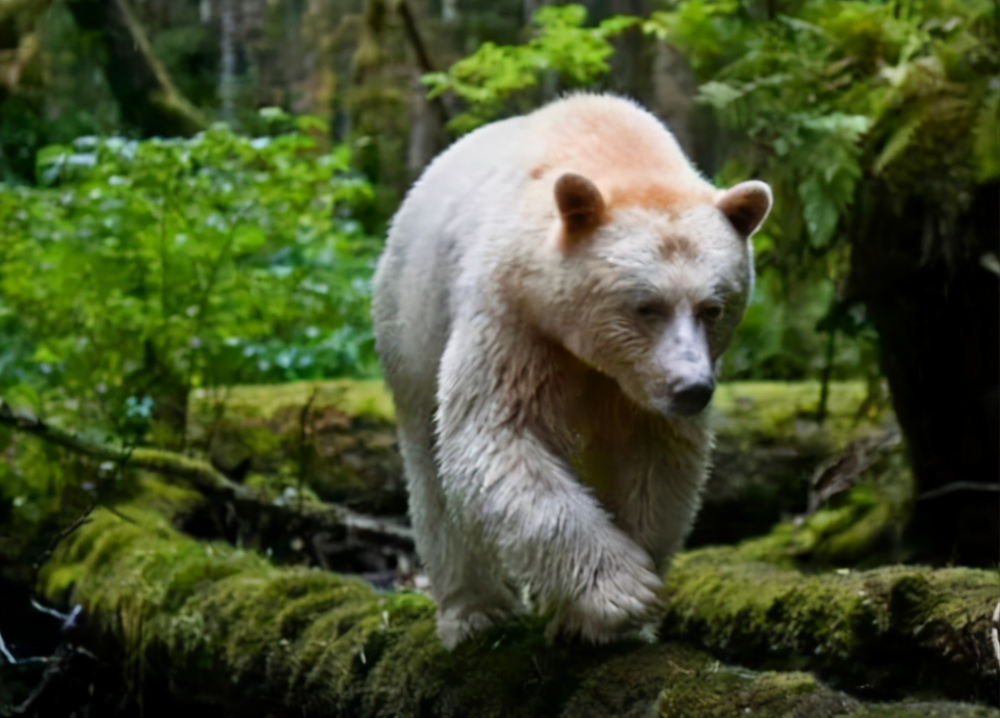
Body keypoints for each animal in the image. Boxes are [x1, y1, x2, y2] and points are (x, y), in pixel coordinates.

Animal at [376, 93, 772, 648]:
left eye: (713, 308)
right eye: (645, 306)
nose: (691, 389)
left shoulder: (636, 390)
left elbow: (655, 461)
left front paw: (602, 620)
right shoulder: (513, 316)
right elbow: (496, 434)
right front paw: (623, 591)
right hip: (412, 324)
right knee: (431, 471)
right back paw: (474, 611)